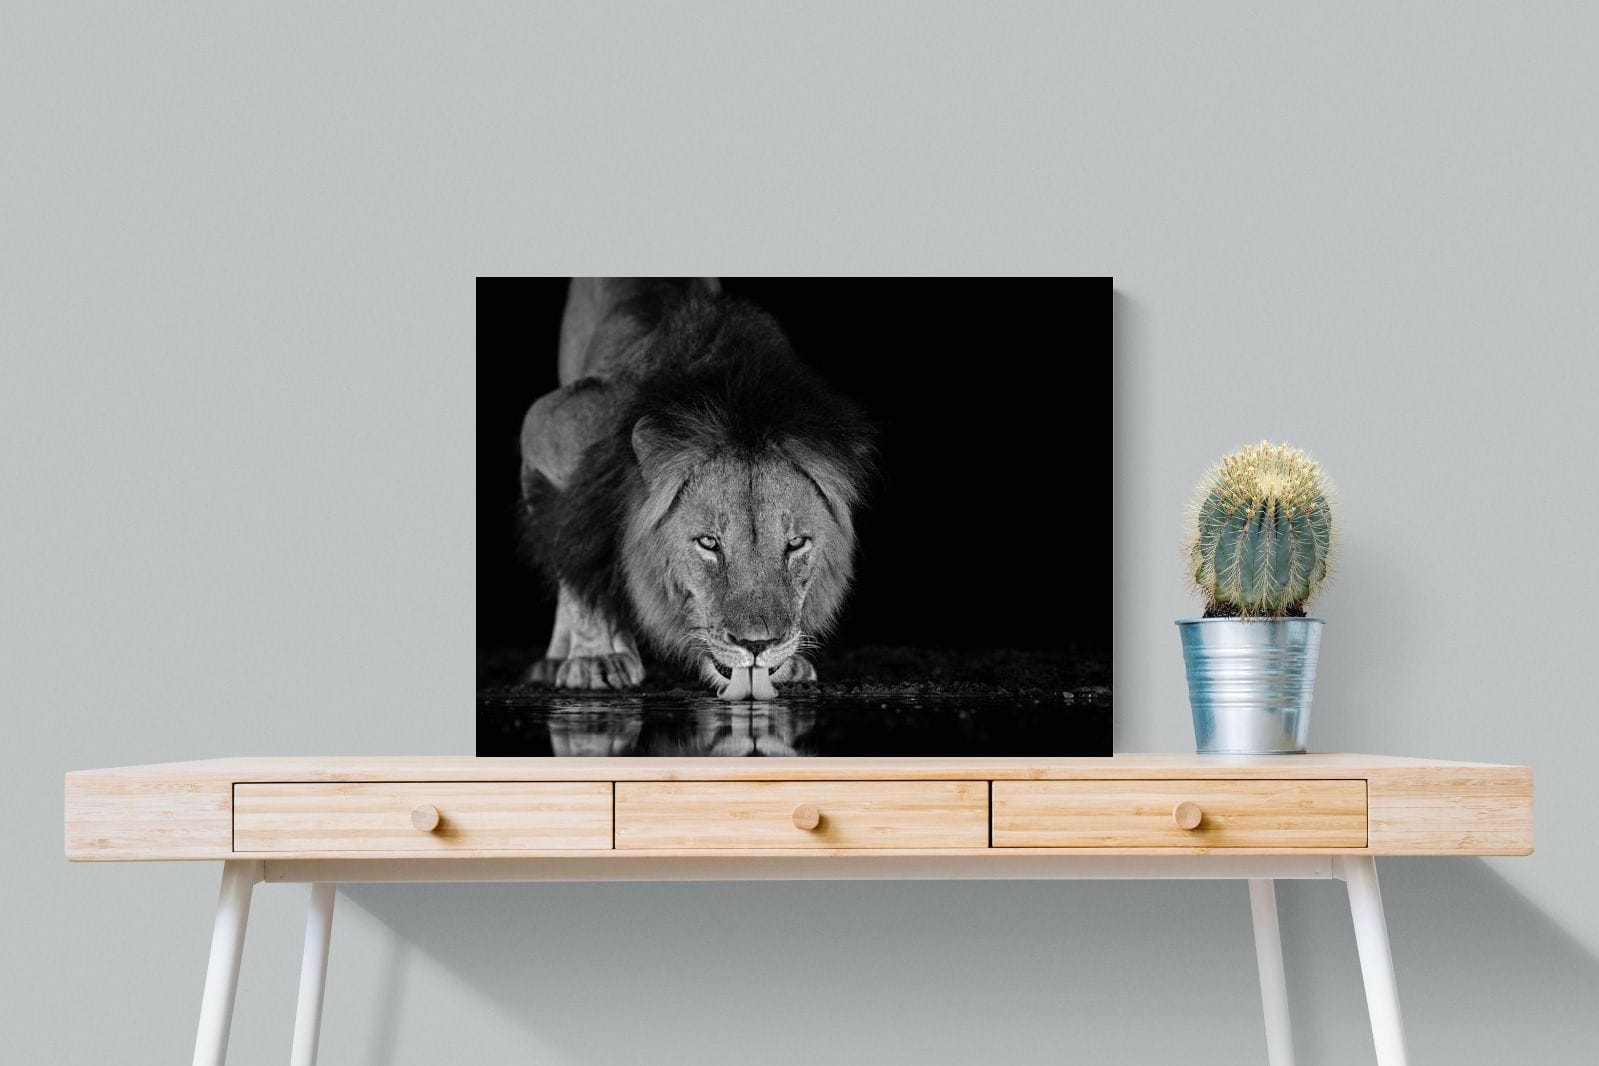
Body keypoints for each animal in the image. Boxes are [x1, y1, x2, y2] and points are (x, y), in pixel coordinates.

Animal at [517, 278, 873, 699]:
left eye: (797, 543)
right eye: (708, 543)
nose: (757, 645)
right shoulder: (548, 428)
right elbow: (577, 552)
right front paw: (596, 658)